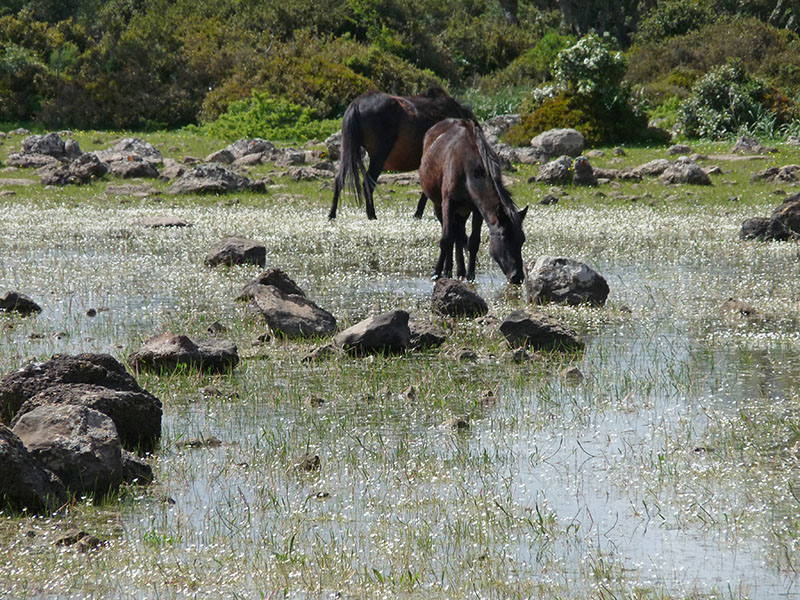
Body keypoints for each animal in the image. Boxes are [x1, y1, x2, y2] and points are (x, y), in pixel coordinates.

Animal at [326, 86, 476, 220]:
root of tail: (356, 104)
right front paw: (419, 213)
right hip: (378, 156)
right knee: (368, 183)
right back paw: (371, 215)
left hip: (349, 151)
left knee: (339, 179)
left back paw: (332, 214)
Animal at [416, 120, 528, 286]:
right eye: (504, 237)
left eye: (522, 240)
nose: (517, 277)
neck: (468, 172)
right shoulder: (448, 203)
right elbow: (446, 239)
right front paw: (436, 273)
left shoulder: (477, 209)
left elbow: (473, 241)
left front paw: (470, 275)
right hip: (438, 205)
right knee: (451, 234)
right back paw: (447, 270)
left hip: (462, 212)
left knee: (459, 234)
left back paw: (460, 270)